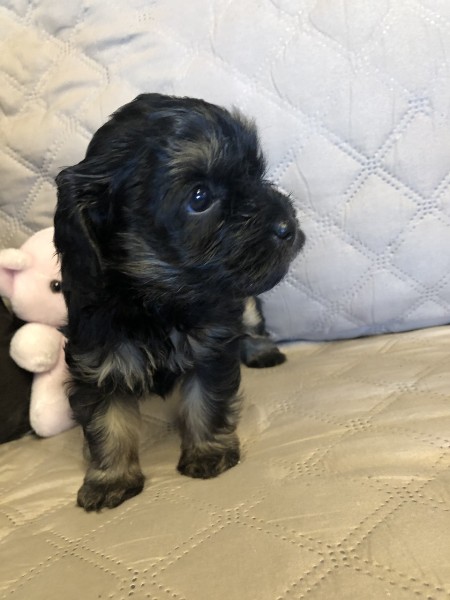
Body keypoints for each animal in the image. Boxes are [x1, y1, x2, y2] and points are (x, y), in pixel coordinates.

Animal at [54, 94, 304, 510]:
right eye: (199, 197)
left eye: (255, 175)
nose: (289, 224)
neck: (156, 300)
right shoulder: (95, 362)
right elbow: (108, 422)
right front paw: (110, 479)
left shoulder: (211, 345)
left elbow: (204, 400)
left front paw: (207, 452)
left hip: (244, 301)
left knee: (252, 320)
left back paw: (262, 351)